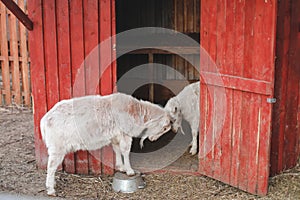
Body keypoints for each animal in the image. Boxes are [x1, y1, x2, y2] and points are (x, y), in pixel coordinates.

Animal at [40, 93, 171, 196]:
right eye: (164, 128)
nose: (153, 139)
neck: (137, 111)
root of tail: (45, 120)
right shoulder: (125, 134)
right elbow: (125, 151)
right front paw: (129, 170)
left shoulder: (115, 136)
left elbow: (117, 149)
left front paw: (121, 167)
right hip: (57, 147)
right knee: (51, 166)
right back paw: (51, 190)